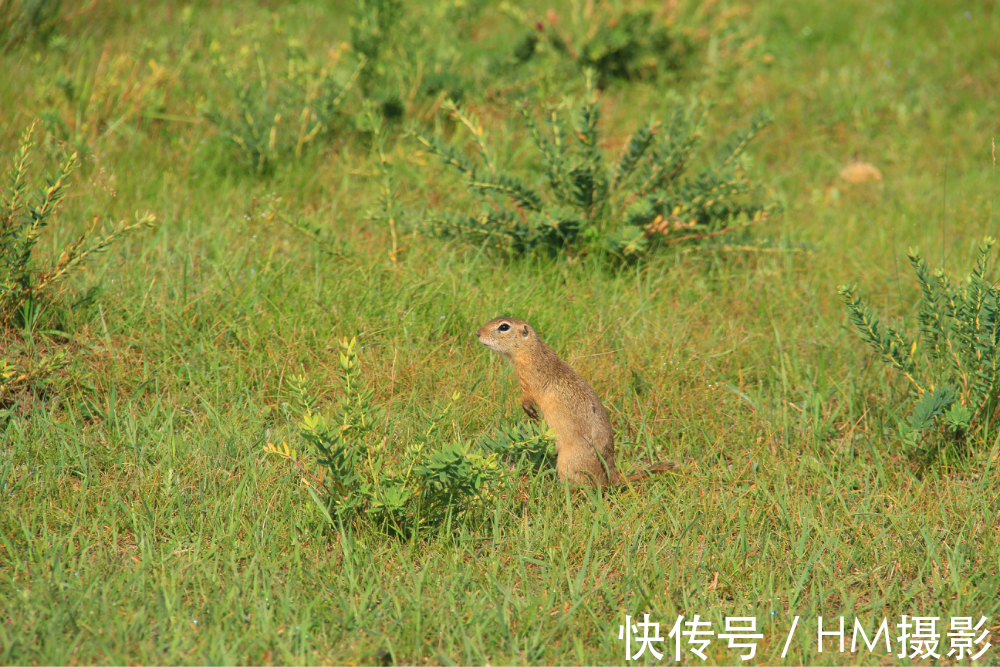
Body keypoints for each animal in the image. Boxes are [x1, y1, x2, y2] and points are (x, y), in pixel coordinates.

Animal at [476, 316, 680, 488]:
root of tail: (613, 475)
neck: (533, 351)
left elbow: (527, 397)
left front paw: (530, 412)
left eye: (504, 327)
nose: (477, 332)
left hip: (568, 462)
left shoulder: (530, 383)